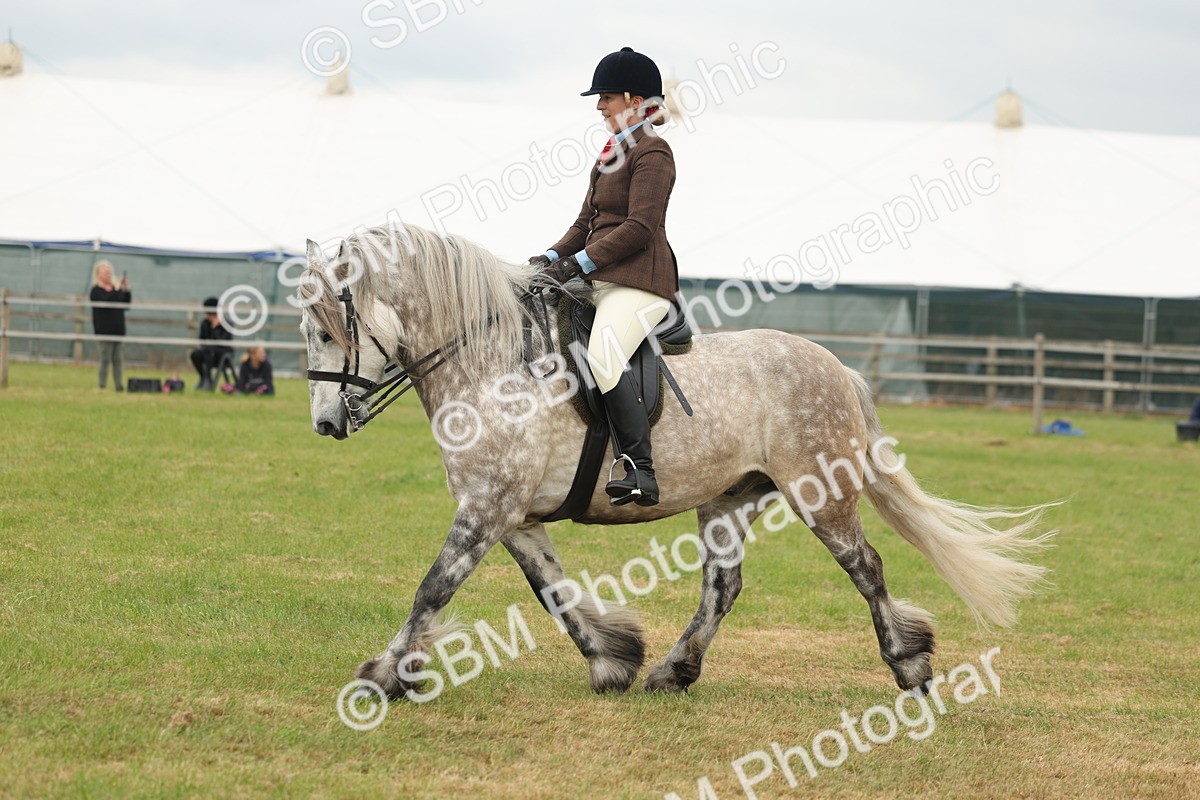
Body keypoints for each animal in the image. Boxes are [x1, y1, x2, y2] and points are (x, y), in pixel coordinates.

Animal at [298, 224, 1056, 699]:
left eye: (329, 328)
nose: (327, 423)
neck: (493, 367)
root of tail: (835, 365)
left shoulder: (487, 510)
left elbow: (433, 588)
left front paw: (382, 676)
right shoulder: (512, 516)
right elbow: (551, 592)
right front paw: (612, 660)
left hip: (820, 491)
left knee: (865, 567)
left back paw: (909, 664)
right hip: (729, 499)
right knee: (724, 585)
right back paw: (673, 670)